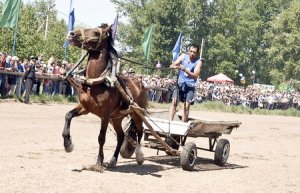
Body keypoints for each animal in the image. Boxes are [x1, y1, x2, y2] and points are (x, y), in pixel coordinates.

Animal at [63, 24, 148, 172]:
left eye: (96, 33)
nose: (72, 34)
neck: (97, 83)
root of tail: (140, 83)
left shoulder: (105, 115)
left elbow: (101, 138)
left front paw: (98, 162)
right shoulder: (85, 108)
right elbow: (68, 115)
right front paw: (68, 144)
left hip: (136, 114)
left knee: (139, 131)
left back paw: (139, 155)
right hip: (117, 118)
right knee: (121, 136)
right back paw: (113, 160)